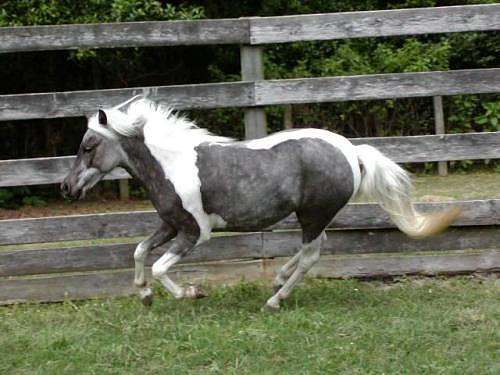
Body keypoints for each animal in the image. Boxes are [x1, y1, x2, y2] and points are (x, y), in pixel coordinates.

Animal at [59, 97, 460, 312]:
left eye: (89, 146)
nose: (66, 188)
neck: (172, 165)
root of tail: (351, 151)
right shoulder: (171, 224)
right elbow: (140, 252)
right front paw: (144, 295)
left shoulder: (195, 232)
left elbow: (159, 267)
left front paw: (191, 292)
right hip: (313, 217)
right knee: (314, 248)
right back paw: (279, 279)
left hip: (313, 215)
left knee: (312, 255)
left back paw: (275, 300)